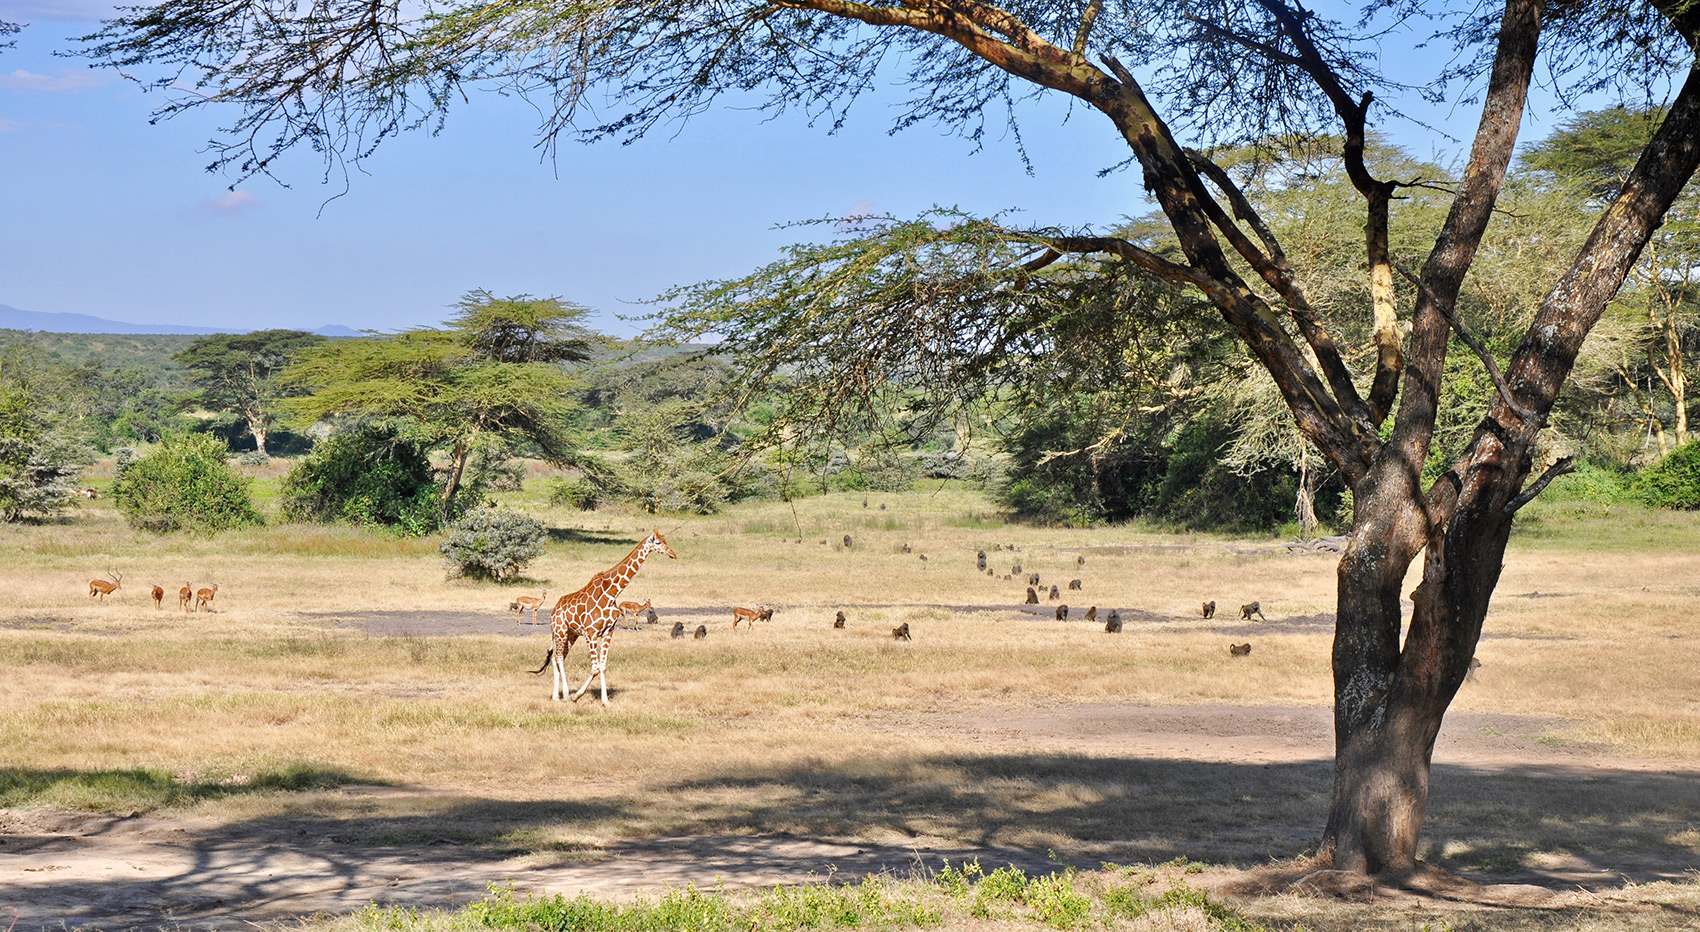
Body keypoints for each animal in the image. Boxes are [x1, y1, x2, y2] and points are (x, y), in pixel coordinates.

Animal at [534, 529, 677, 706]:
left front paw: (605, 701)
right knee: (559, 658)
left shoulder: (608, 631)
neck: (611, 593)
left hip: (571, 634)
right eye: (658, 542)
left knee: (555, 658)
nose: (673, 554)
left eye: (665, 540)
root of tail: (554, 610)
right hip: (560, 631)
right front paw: (577, 696)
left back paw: (556, 696)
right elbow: (595, 668)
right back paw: (565, 695)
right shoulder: (591, 633)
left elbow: (602, 666)